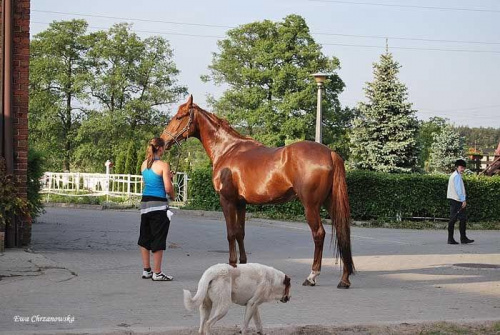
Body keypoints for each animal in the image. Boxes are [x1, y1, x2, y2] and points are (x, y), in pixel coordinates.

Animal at [162, 95, 354, 288]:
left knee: (319, 234)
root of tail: (330, 153)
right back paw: (344, 279)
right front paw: (243, 264)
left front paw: (232, 264)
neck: (227, 150)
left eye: (179, 117)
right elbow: (240, 233)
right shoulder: (241, 203)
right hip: (330, 203)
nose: (163, 141)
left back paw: (312, 276)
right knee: (342, 232)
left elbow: (231, 233)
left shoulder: (227, 200)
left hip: (311, 206)